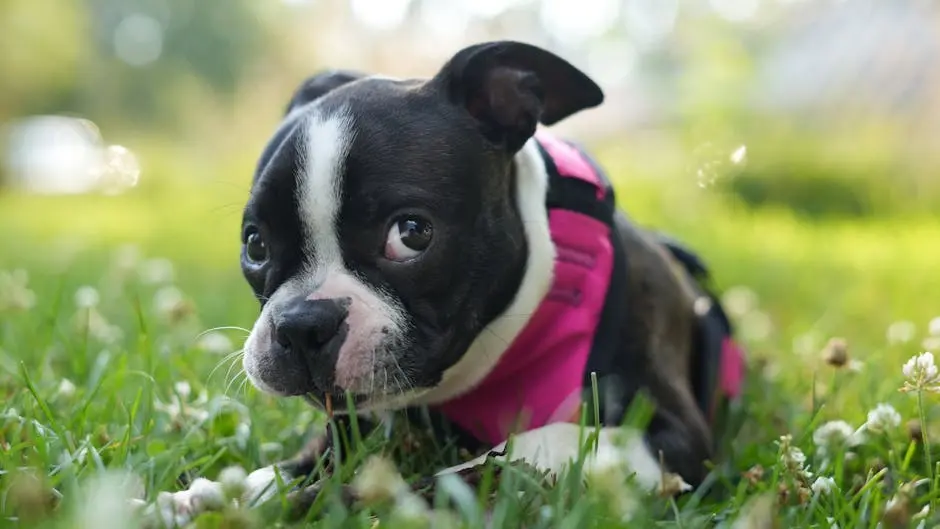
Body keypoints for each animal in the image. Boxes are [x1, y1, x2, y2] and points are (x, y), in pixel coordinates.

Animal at [151, 39, 744, 520]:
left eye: (411, 234)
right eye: (255, 245)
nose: (301, 324)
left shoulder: (665, 438)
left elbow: (475, 470)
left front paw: (313, 504)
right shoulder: (355, 423)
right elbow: (300, 464)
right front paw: (218, 494)